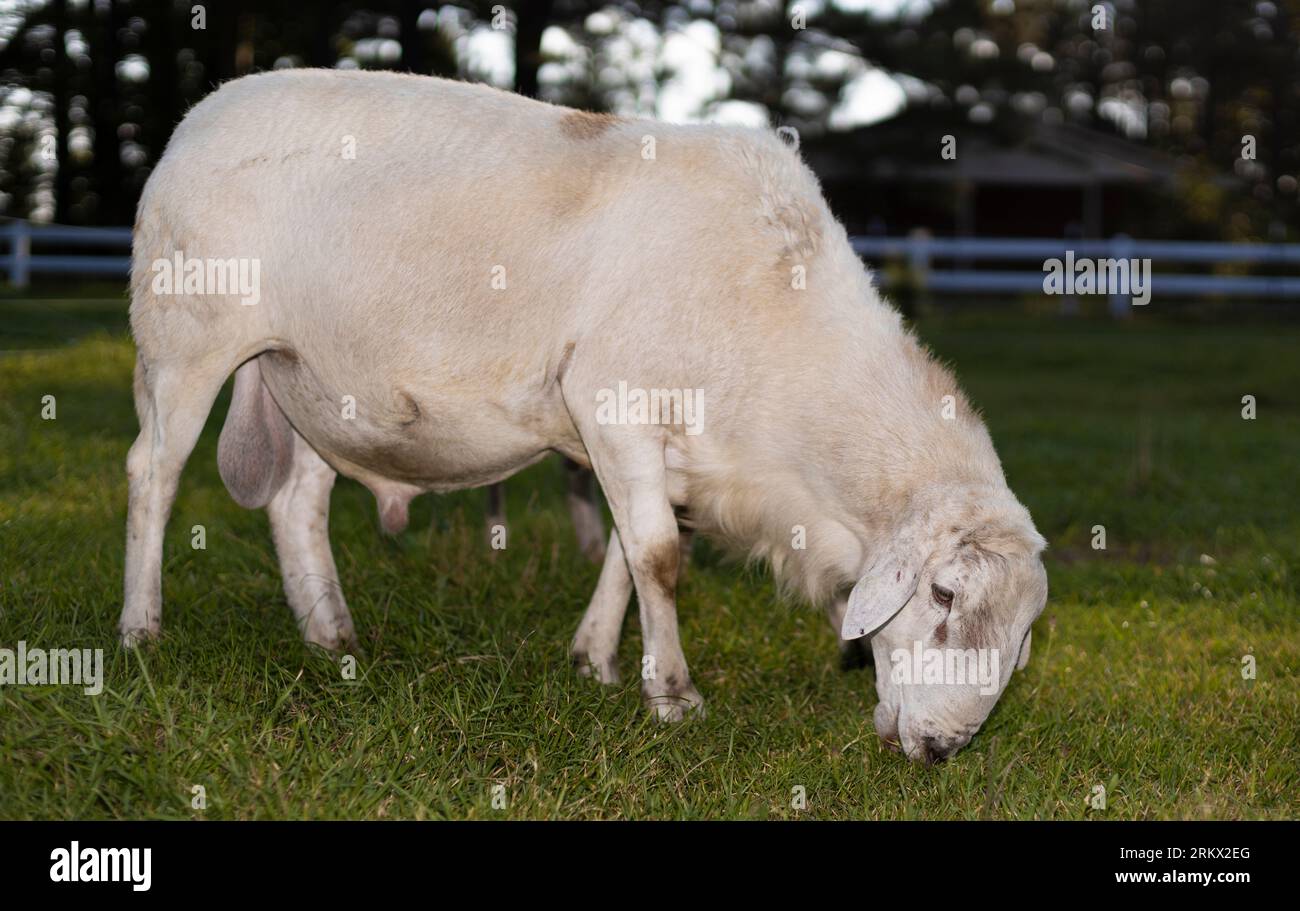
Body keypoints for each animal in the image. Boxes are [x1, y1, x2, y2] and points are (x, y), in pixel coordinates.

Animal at [124, 69, 1045, 758]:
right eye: (943, 594)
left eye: (1024, 632)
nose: (941, 750)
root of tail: (195, 120)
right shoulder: (615, 395)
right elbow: (659, 556)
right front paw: (673, 695)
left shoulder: (668, 446)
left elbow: (629, 554)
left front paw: (595, 659)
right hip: (186, 340)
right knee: (154, 474)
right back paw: (142, 632)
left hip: (309, 378)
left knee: (295, 503)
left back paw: (331, 636)